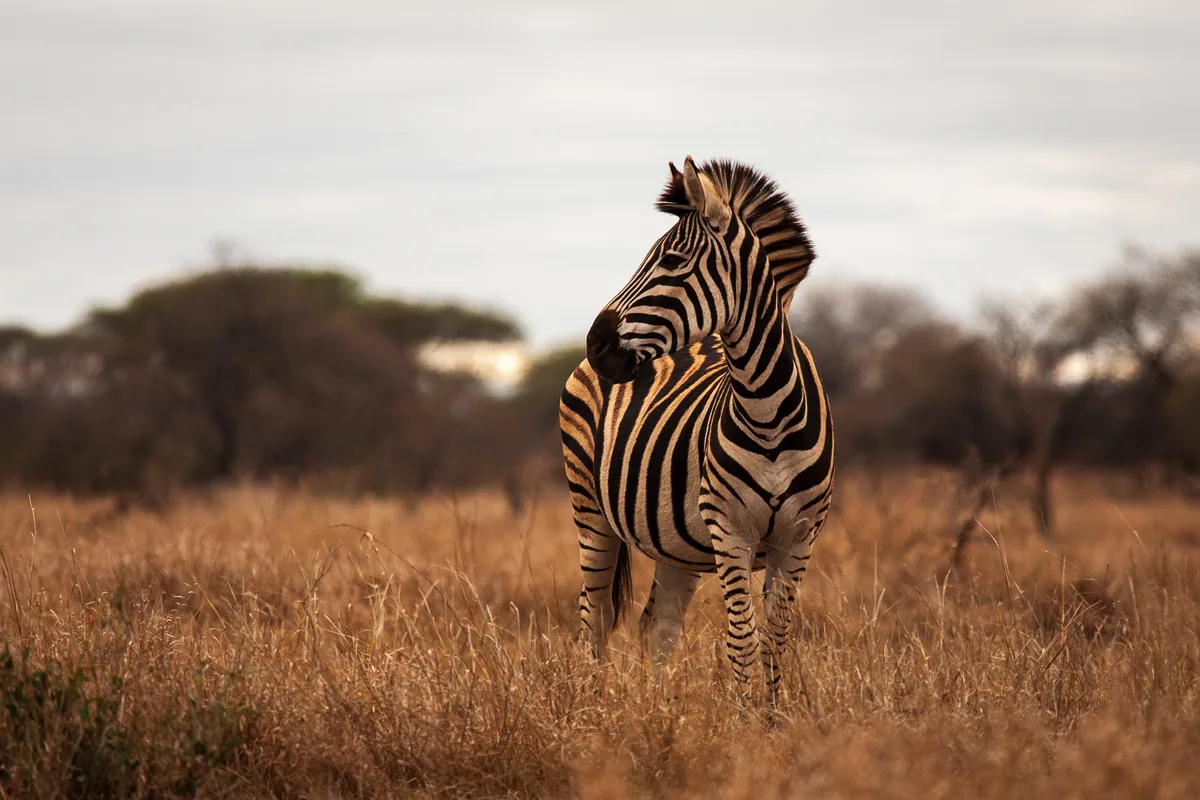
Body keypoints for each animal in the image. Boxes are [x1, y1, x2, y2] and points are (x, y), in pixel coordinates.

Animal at [559, 156, 834, 704]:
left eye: (671, 262)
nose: (596, 344)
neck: (768, 410)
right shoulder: (730, 530)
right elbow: (742, 641)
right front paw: (747, 719)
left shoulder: (799, 536)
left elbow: (775, 640)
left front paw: (772, 719)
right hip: (590, 510)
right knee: (594, 619)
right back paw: (591, 709)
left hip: (674, 542)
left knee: (657, 627)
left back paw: (660, 712)